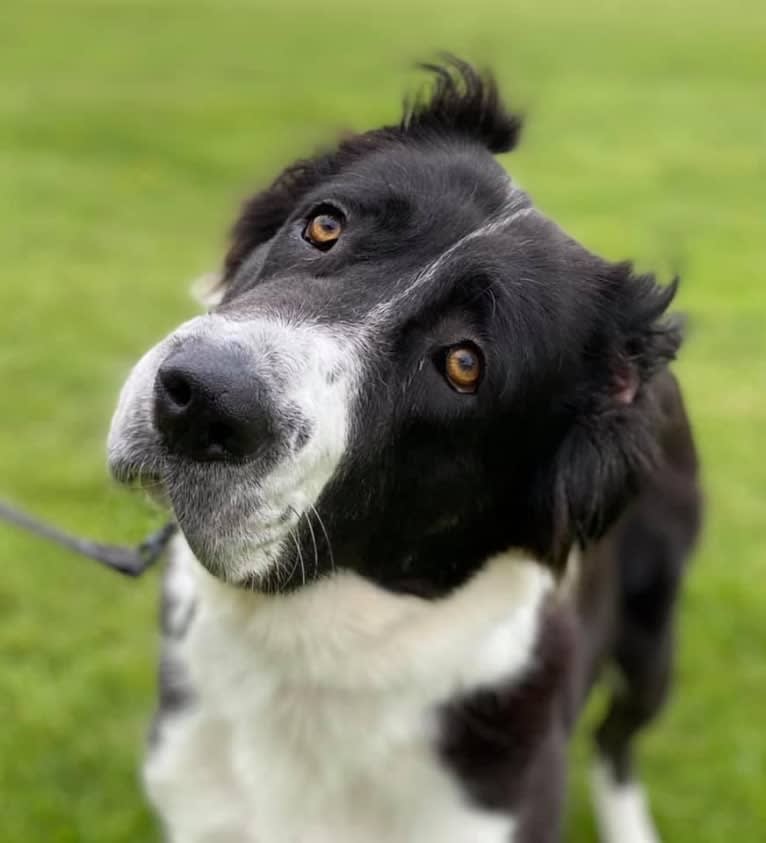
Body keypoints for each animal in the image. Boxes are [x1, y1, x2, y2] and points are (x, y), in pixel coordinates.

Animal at [106, 61, 704, 843]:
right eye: (324, 223)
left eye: (464, 365)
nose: (200, 399)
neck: (303, 649)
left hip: (651, 632)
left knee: (618, 737)